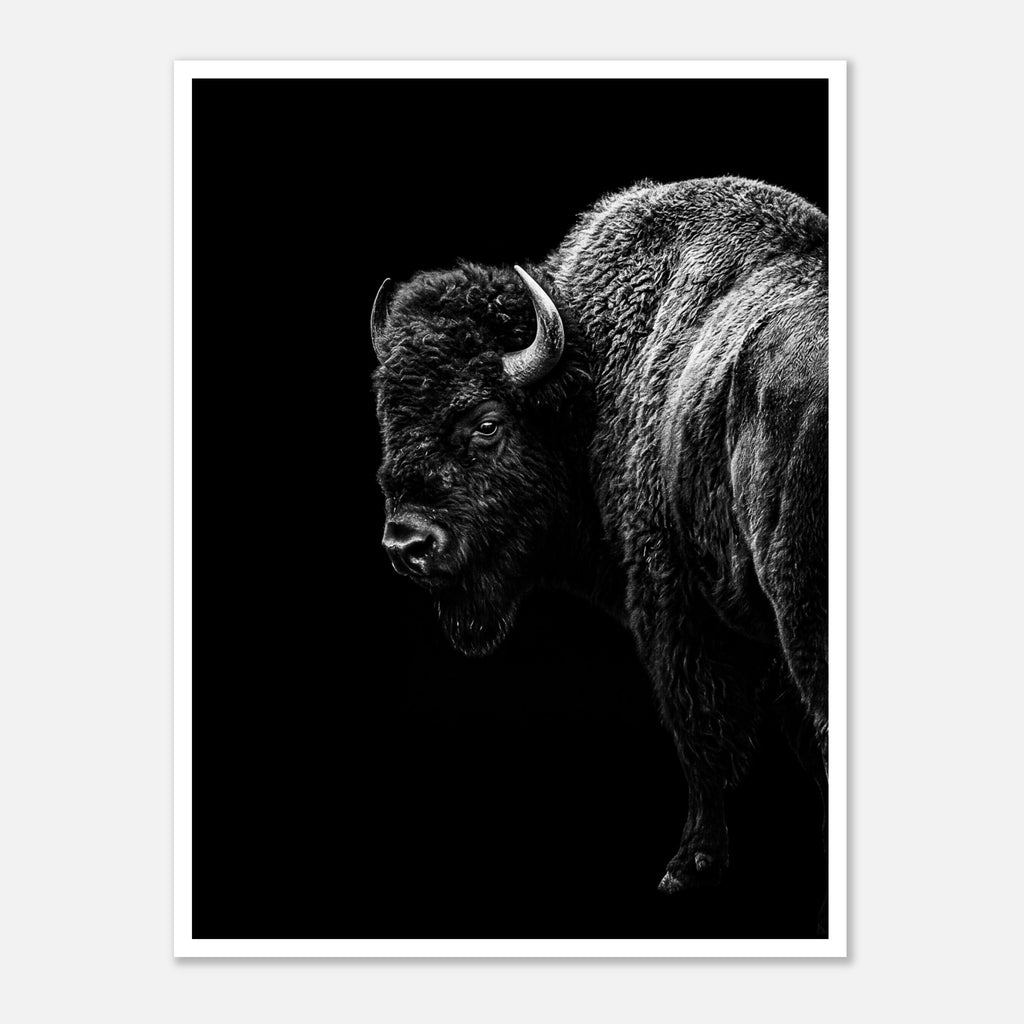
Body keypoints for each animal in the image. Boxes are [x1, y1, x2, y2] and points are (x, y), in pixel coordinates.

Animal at [371, 177, 828, 927]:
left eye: (487, 423)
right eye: (389, 417)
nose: (406, 544)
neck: (588, 373)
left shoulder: (674, 605)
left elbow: (703, 732)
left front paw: (688, 868)